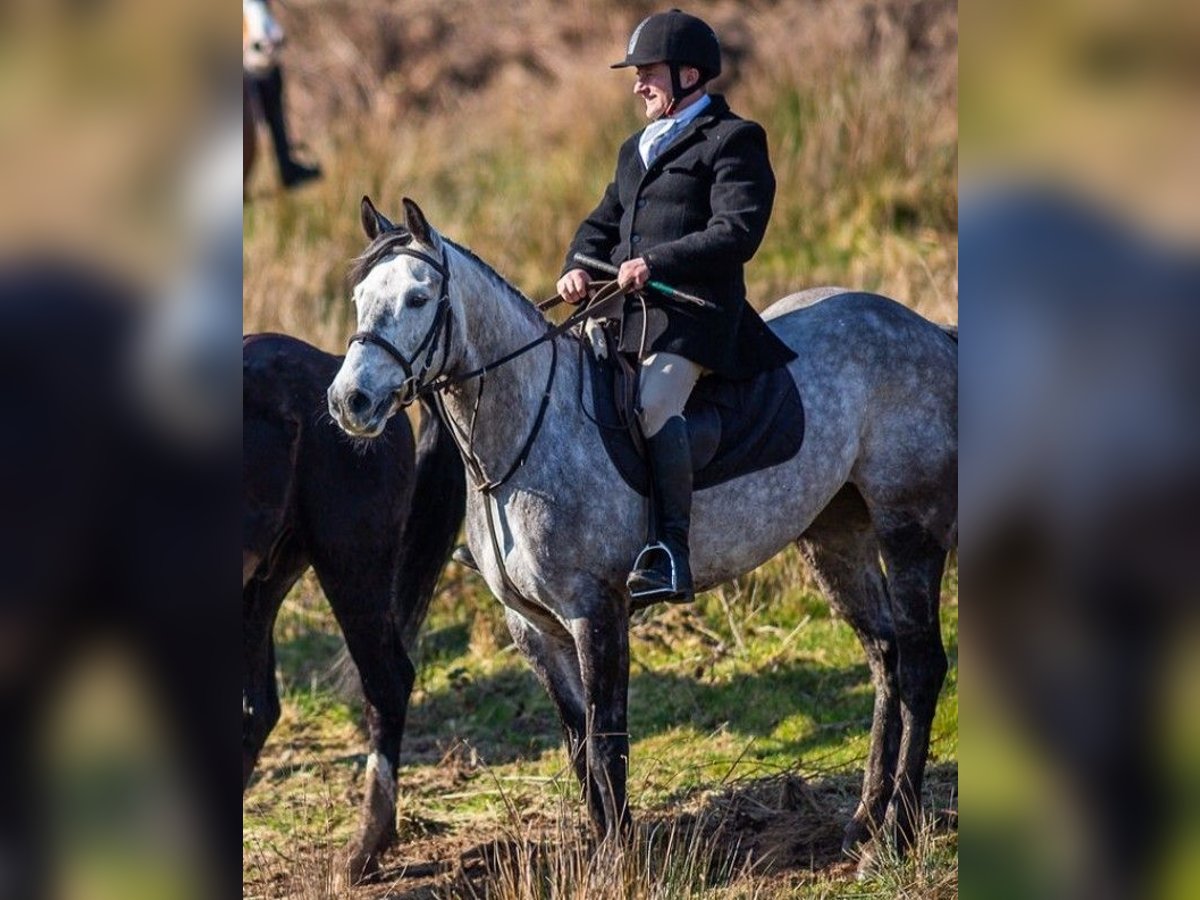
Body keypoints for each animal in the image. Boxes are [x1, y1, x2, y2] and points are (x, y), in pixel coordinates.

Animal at [326, 199, 955, 873]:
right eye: (360, 297)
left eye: (419, 298)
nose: (349, 401)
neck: (526, 429)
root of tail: (927, 330)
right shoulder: (533, 628)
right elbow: (580, 744)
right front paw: (610, 848)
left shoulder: (595, 612)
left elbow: (608, 741)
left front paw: (619, 863)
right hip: (835, 539)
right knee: (886, 659)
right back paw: (863, 820)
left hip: (909, 530)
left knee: (922, 667)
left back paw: (895, 834)